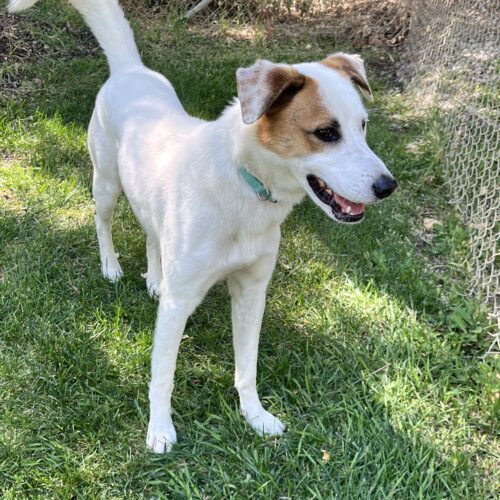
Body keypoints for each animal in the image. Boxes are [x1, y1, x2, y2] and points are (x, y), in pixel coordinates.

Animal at [8, 0, 398, 454]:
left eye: (363, 125)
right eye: (326, 132)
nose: (388, 186)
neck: (245, 185)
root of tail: (130, 69)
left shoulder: (251, 291)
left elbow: (246, 367)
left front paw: (254, 415)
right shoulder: (179, 304)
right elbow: (163, 374)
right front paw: (159, 429)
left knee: (152, 234)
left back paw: (154, 277)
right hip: (105, 182)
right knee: (102, 221)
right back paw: (111, 266)